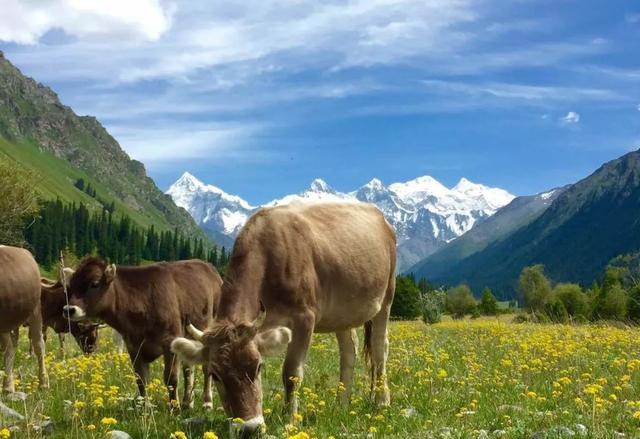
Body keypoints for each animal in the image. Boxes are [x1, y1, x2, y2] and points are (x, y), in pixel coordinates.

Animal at [62, 258, 222, 410]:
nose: (68, 309)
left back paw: (207, 402)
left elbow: (171, 378)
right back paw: (187, 402)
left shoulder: (170, 340)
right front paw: (145, 407)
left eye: (94, 284)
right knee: (189, 369)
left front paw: (174, 408)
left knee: (206, 367)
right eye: (70, 286)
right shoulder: (134, 346)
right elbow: (141, 379)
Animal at [170, 204, 396, 436]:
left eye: (258, 367)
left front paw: (290, 421)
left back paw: (382, 400)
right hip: (342, 313)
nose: (249, 429)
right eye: (216, 375)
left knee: (380, 349)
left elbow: (291, 373)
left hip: (387, 296)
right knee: (349, 351)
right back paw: (341, 404)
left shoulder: (305, 318)